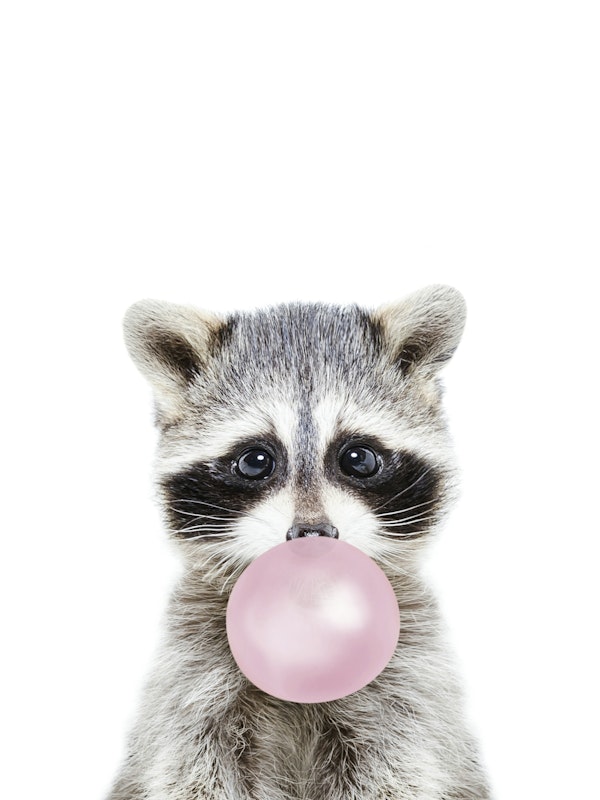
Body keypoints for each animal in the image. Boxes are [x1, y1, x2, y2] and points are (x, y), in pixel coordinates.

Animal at [108, 285, 491, 800]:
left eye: (358, 458)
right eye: (255, 461)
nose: (312, 534)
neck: (306, 608)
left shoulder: (407, 681)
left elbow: (398, 766)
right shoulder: (193, 677)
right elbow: (190, 767)